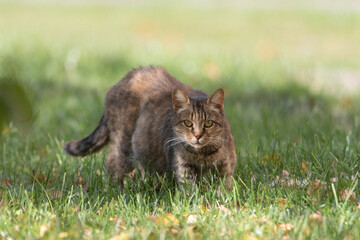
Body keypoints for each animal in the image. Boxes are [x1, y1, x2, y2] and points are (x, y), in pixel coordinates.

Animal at [64, 65, 238, 189]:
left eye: (208, 123)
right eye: (188, 123)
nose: (197, 135)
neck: (203, 155)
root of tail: (124, 78)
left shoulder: (226, 166)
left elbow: (224, 187)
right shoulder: (183, 166)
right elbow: (190, 190)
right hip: (125, 146)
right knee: (114, 165)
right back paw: (118, 190)